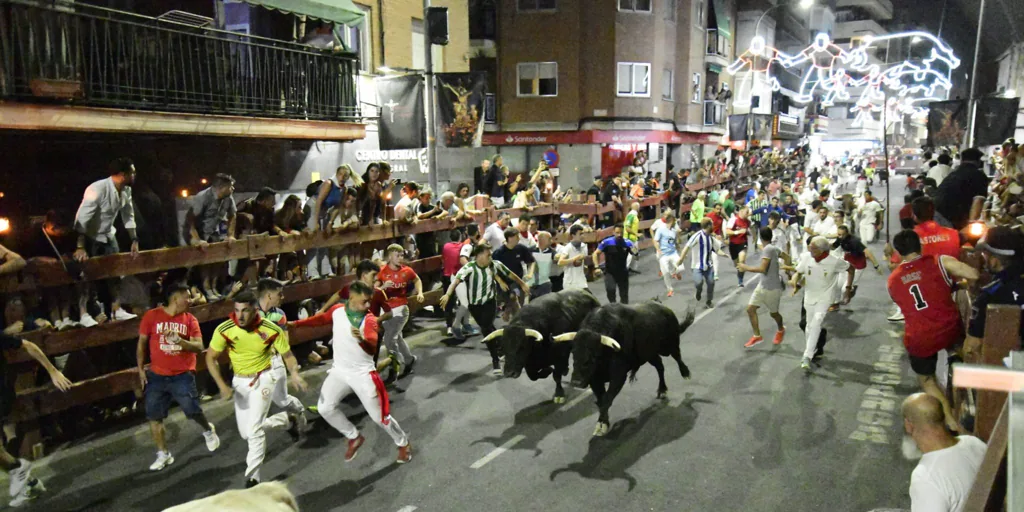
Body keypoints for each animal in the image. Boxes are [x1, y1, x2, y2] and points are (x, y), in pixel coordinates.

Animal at [552, 301, 696, 438]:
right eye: (573, 352)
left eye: (594, 355)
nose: (576, 382)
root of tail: (665, 308)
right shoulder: (594, 380)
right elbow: (601, 400)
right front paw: (603, 422)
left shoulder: (618, 376)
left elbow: (607, 399)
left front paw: (601, 425)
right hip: (650, 354)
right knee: (660, 366)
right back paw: (662, 390)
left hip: (669, 344)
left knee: (676, 355)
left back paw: (685, 373)